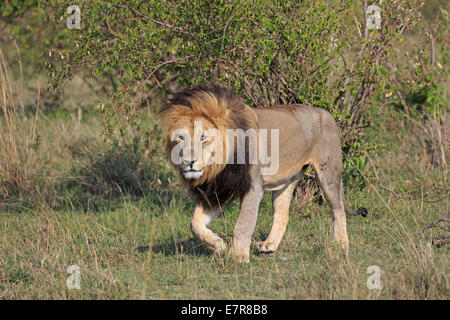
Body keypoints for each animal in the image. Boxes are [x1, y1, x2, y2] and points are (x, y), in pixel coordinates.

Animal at [160, 85, 368, 262]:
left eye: (203, 138)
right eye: (180, 138)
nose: (189, 162)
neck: (218, 166)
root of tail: (328, 113)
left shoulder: (253, 187)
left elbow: (243, 224)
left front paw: (238, 257)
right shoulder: (217, 190)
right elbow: (194, 224)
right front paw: (218, 245)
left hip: (328, 173)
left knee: (338, 209)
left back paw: (341, 244)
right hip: (285, 181)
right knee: (283, 214)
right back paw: (269, 245)